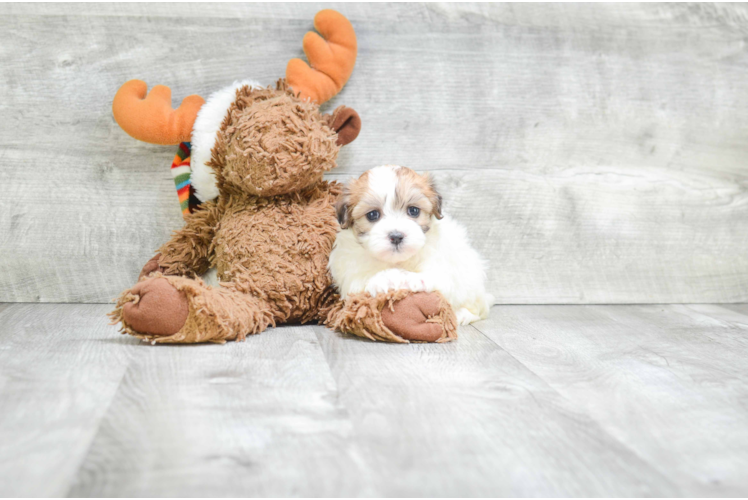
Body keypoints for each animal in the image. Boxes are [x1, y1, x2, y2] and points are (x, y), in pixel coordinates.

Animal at [330, 166, 494, 326]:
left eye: (413, 211)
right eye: (372, 215)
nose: (396, 236)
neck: (398, 261)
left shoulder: (442, 265)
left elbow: (437, 278)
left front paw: (413, 279)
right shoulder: (350, 273)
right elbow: (359, 283)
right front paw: (384, 279)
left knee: (478, 308)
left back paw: (462, 315)